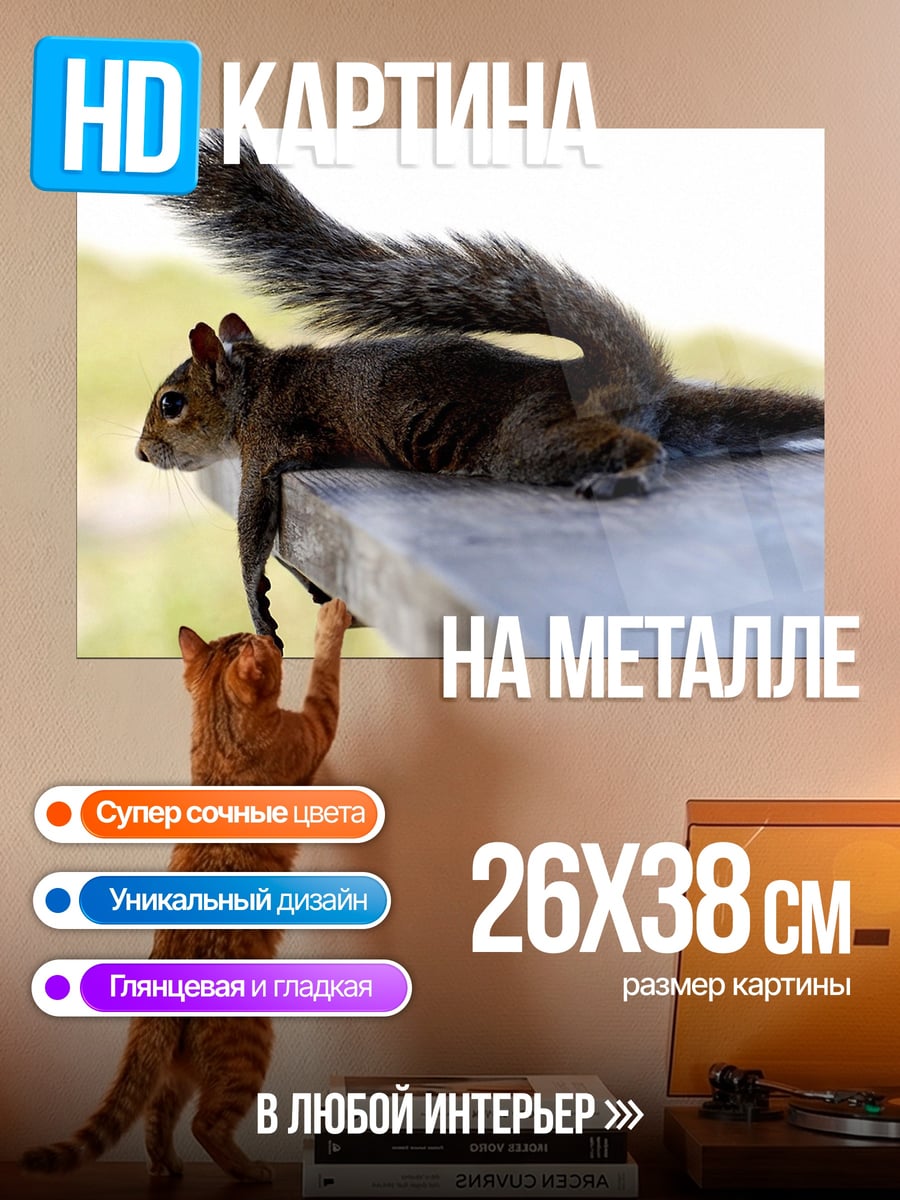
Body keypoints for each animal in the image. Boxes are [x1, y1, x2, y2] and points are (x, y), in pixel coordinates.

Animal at [136, 130, 824, 651]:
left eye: (171, 404)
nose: (142, 454)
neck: (255, 383)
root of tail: (621, 378)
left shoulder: (267, 443)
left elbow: (253, 530)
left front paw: (259, 606)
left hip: (528, 440)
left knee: (622, 445)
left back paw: (630, 473)